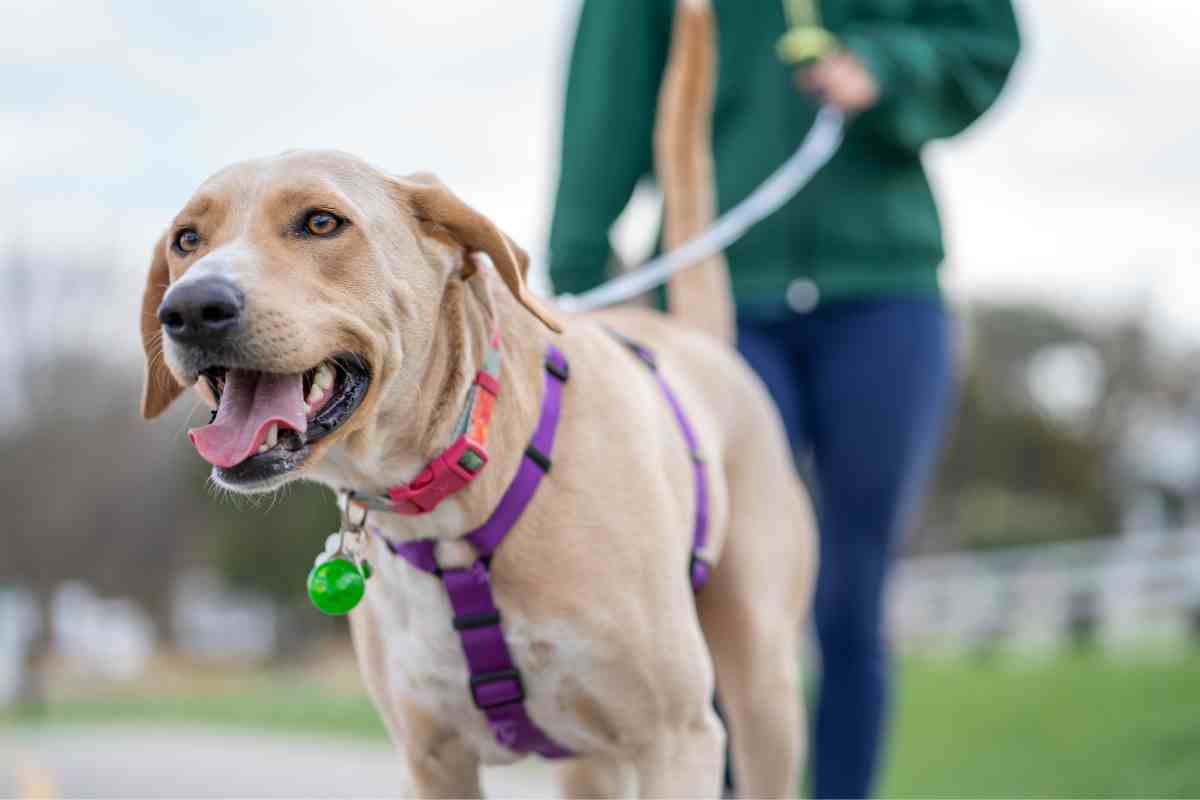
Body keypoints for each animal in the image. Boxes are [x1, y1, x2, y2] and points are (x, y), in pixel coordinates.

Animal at [138, 3, 816, 796]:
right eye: (187, 239)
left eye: (321, 222)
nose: (189, 308)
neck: (452, 497)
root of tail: (699, 340)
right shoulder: (433, 759)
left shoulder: (677, 739)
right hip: (592, 762)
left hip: (762, 693)